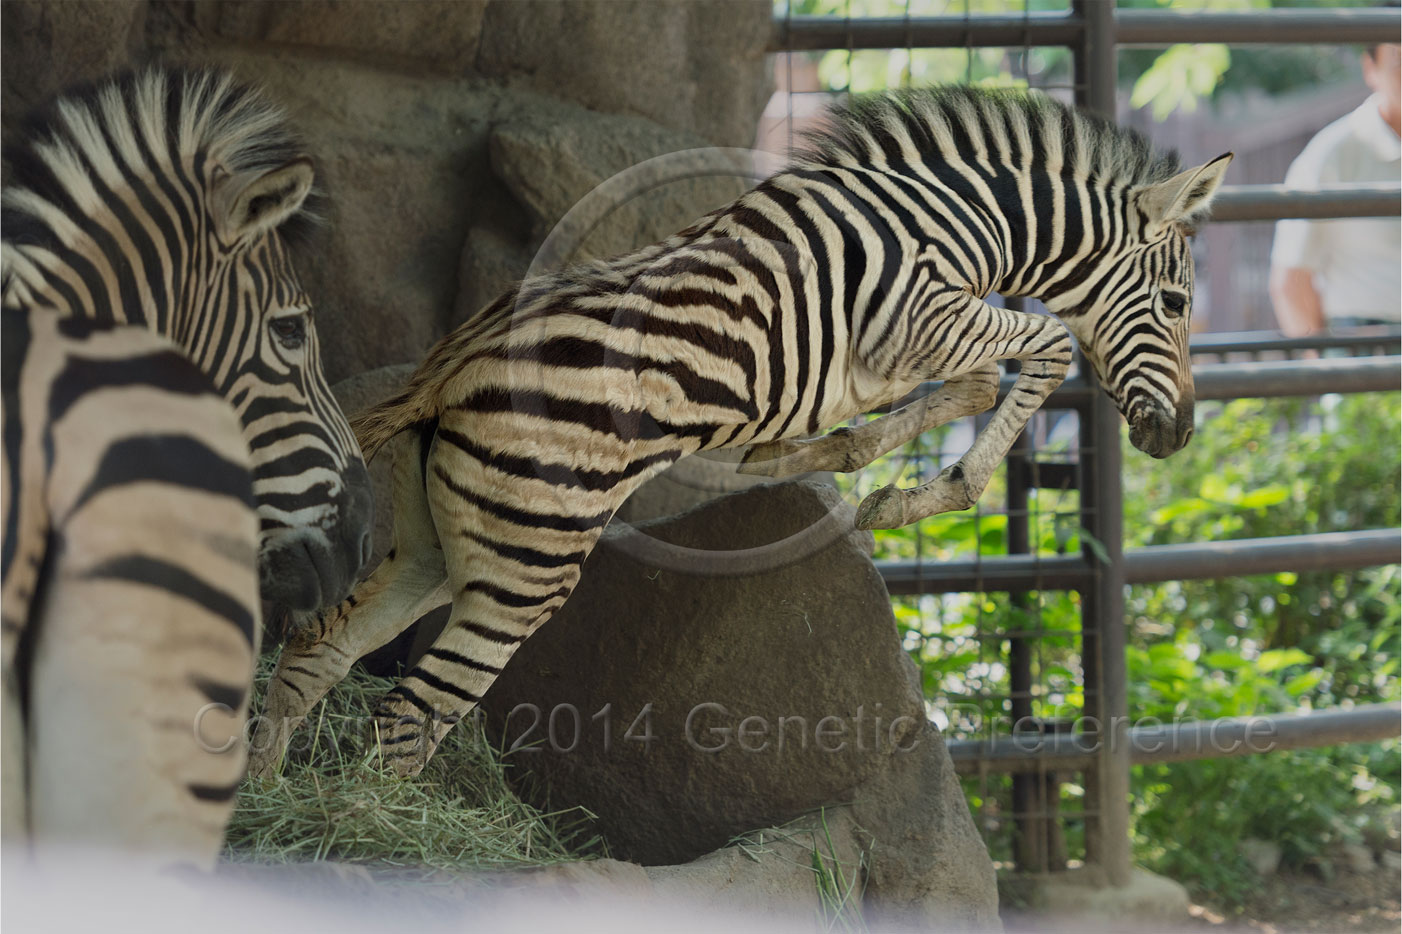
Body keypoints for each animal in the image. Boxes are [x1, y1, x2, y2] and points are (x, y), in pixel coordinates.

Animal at [252, 81, 1228, 779]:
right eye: (1178, 305)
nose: (1181, 437)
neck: (964, 220)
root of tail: (455, 366)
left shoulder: (910, 347)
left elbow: (972, 384)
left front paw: (840, 463)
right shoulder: (918, 319)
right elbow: (1044, 351)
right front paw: (935, 490)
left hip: (439, 545)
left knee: (318, 651)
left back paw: (272, 809)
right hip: (527, 562)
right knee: (409, 716)